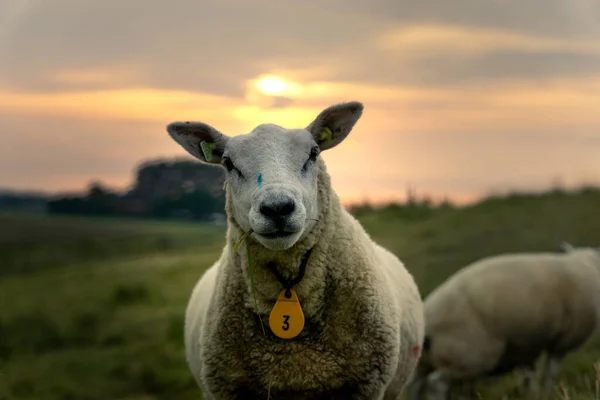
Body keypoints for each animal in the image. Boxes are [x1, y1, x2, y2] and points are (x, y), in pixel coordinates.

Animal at [406, 242, 600, 398]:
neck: (585, 264)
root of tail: (429, 318)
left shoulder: (527, 343)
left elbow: (529, 373)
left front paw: (532, 394)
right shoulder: (564, 340)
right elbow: (550, 372)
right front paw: (547, 392)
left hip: (426, 359)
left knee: (415, 383)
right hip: (470, 354)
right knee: (437, 383)